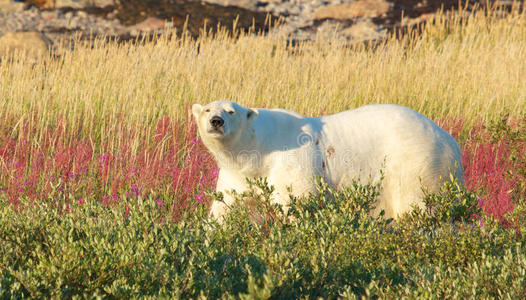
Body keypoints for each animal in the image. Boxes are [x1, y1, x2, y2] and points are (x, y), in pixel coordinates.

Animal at [192, 101, 464, 220]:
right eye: (207, 109)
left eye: (231, 111)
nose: (216, 121)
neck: (259, 149)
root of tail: (450, 141)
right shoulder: (235, 176)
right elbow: (225, 209)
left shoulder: (292, 161)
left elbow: (296, 202)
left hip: (417, 162)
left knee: (415, 205)